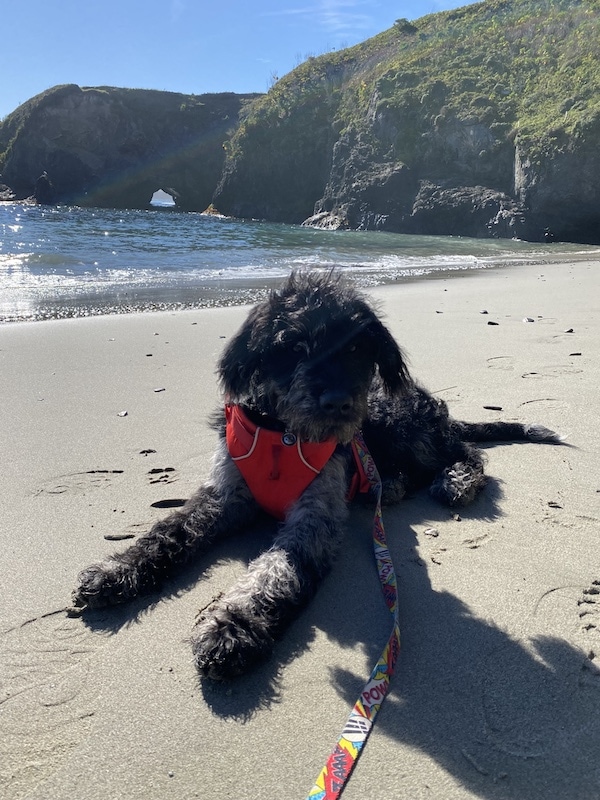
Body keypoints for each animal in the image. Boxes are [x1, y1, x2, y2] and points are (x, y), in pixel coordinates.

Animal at [72, 272, 560, 680]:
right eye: (292, 346)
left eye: (357, 349)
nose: (338, 402)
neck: (282, 433)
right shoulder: (225, 494)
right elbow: (167, 532)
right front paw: (118, 571)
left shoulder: (315, 514)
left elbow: (274, 574)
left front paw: (234, 626)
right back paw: (392, 484)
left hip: (403, 425)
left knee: (465, 451)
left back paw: (456, 478)